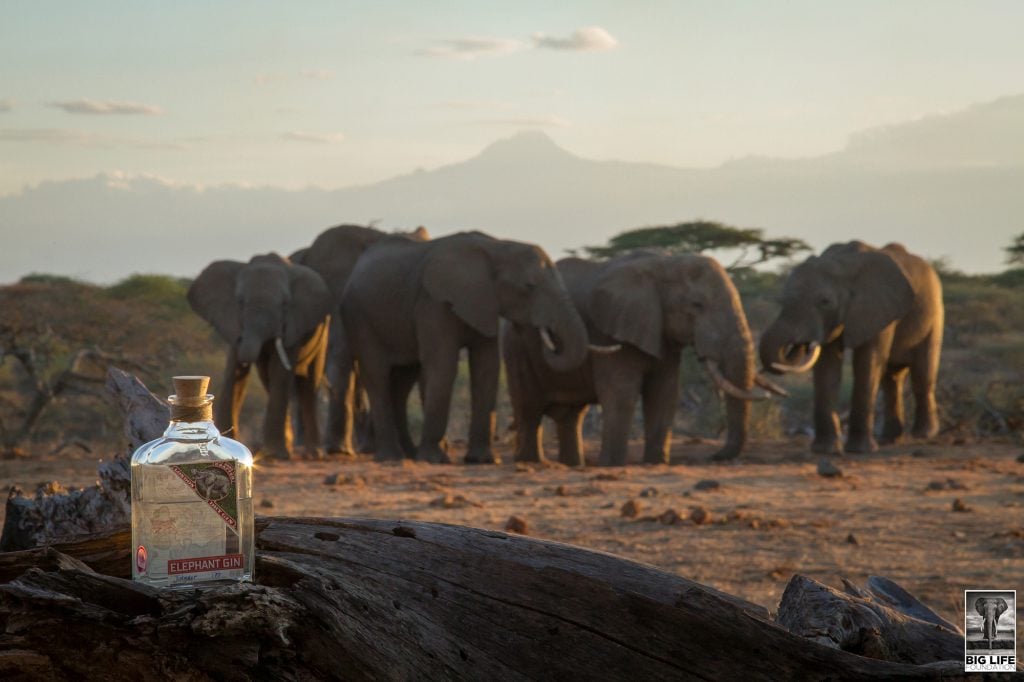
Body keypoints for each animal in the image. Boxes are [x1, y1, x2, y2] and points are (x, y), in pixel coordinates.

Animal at [188, 253, 333, 460]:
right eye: (240, 301)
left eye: (285, 304)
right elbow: (235, 372)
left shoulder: (293, 324)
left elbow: (280, 372)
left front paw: (275, 454)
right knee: (268, 379)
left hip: (322, 332)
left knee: (308, 385)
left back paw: (314, 453)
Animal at [341, 231, 592, 464]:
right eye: (529, 286)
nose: (548, 336)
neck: (497, 246)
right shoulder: (433, 302)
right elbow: (443, 366)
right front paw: (435, 460)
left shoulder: (485, 303)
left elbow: (487, 366)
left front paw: (483, 460)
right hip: (360, 318)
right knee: (377, 376)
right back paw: (392, 457)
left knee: (403, 380)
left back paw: (409, 454)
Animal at [503, 253, 782, 466]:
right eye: (697, 305)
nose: (714, 456)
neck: (665, 262)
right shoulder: (612, 330)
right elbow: (622, 393)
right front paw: (612, 465)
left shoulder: (661, 335)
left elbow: (664, 394)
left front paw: (656, 462)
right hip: (516, 345)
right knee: (528, 407)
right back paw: (531, 462)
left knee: (572, 416)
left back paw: (572, 465)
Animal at [759, 241, 943, 454]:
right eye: (782, 300)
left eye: (825, 302)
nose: (800, 344)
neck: (843, 262)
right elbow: (827, 366)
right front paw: (825, 450)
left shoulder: (877, 308)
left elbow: (868, 362)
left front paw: (859, 450)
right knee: (892, 379)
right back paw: (889, 439)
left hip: (934, 311)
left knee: (922, 372)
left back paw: (923, 435)